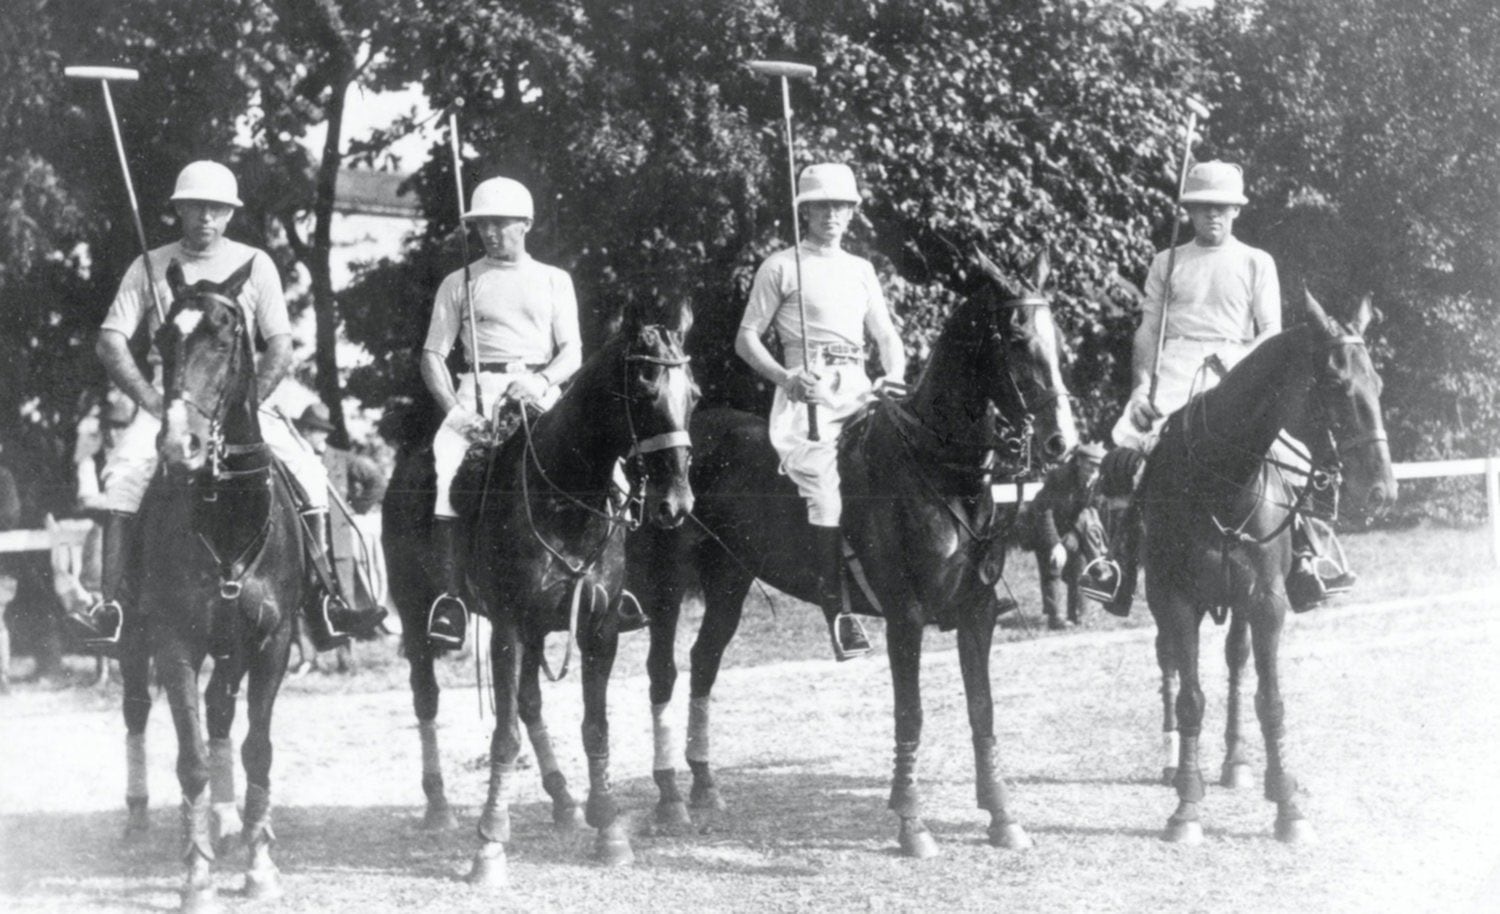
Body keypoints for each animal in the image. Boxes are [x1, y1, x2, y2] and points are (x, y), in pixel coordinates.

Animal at [444, 303, 696, 888]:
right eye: (645, 388)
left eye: (693, 395)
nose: (676, 502)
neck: (562, 498)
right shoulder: (509, 627)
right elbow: (505, 735)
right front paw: (490, 844)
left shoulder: (598, 629)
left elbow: (595, 727)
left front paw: (609, 829)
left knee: (533, 703)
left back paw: (563, 803)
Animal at [630, 249, 1080, 852]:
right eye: (1015, 337)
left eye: (1060, 339)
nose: (1061, 441)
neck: (940, 468)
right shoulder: (906, 616)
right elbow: (911, 714)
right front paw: (912, 824)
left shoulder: (977, 611)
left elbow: (982, 711)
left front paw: (1002, 816)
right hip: (669, 581)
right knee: (663, 670)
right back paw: (670, 797)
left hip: (730, 578)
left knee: (705, 659)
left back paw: (705, 785)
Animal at [1140, 291, 1398, 840]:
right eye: (1336, 385)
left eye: (1378, 384)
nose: (1384, 491)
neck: (1221, 477)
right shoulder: (1175, 600)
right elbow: (1190, 698)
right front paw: (1186, 805)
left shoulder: (1265, 601)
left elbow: (1269, 699)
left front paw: (1286, 804)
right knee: (1169, 663)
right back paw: (1173, 762)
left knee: (1237, 663)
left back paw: (1236, 762)